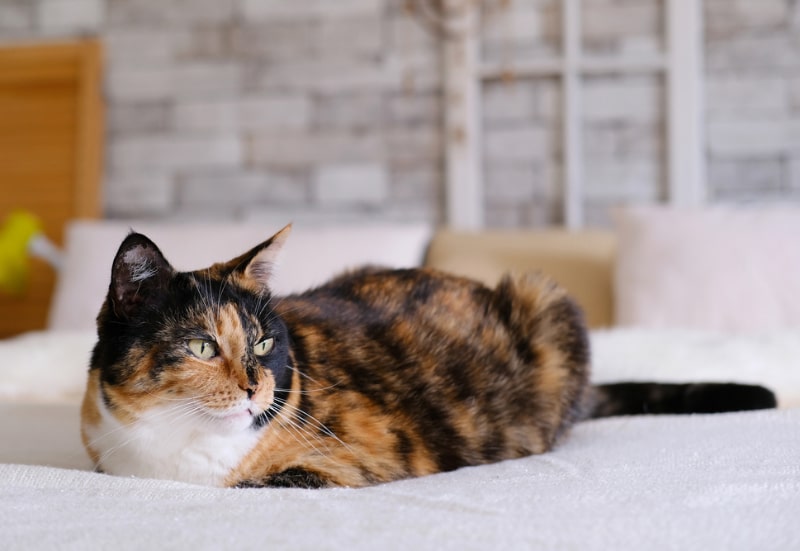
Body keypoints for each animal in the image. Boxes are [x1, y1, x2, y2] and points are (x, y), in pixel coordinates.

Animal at [81, 226, 776, 490]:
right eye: (201, 344)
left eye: (263, 342)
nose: (257, 389)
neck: (170, 453)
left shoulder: (351, 462)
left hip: (547, 299)